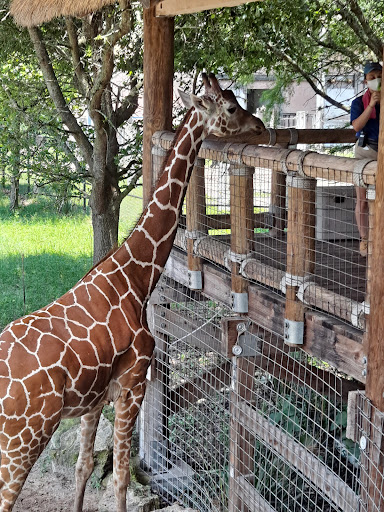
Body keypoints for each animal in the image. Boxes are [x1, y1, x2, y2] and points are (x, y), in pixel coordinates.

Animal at [0, 73, 264, 512]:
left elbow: (84, 467)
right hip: (23, 436)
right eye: (230, 107)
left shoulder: (94, 400)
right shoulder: (133, 384)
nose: (259, 125)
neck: (136, 280)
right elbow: (122, 476)